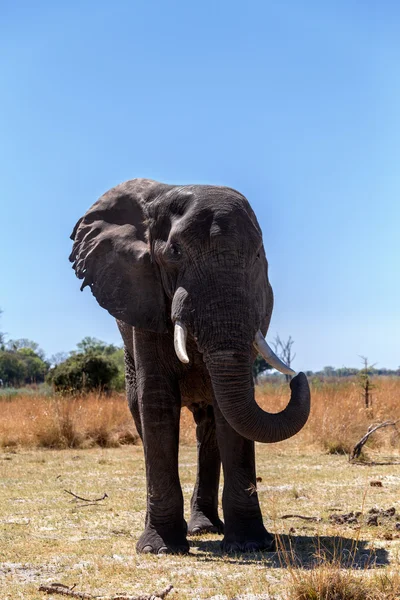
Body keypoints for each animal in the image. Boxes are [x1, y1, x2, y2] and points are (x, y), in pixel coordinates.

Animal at [70, 177, 310, 552]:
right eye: (174, 253)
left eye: (258, 256)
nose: (298, 378)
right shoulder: (144, 296)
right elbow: (157, 401)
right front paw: (159, 548)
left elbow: (230, 414)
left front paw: (250, 545)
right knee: (140, 412)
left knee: (209, 423)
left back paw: (204, 528)